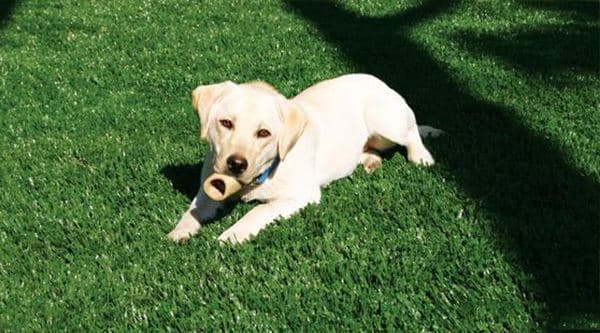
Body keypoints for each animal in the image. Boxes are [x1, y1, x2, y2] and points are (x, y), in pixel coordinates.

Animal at [168, 73, 440, 244]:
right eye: (225, 123)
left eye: (264, 133)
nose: (236, 164)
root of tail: (379, 81)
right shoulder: (207, 192)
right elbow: (193, 210)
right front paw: (180, 230)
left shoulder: (301, 195)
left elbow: (258, 210)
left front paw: (233, 234)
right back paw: (370, 161)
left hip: (384, 120)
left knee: (411, 133)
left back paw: (421, 156)